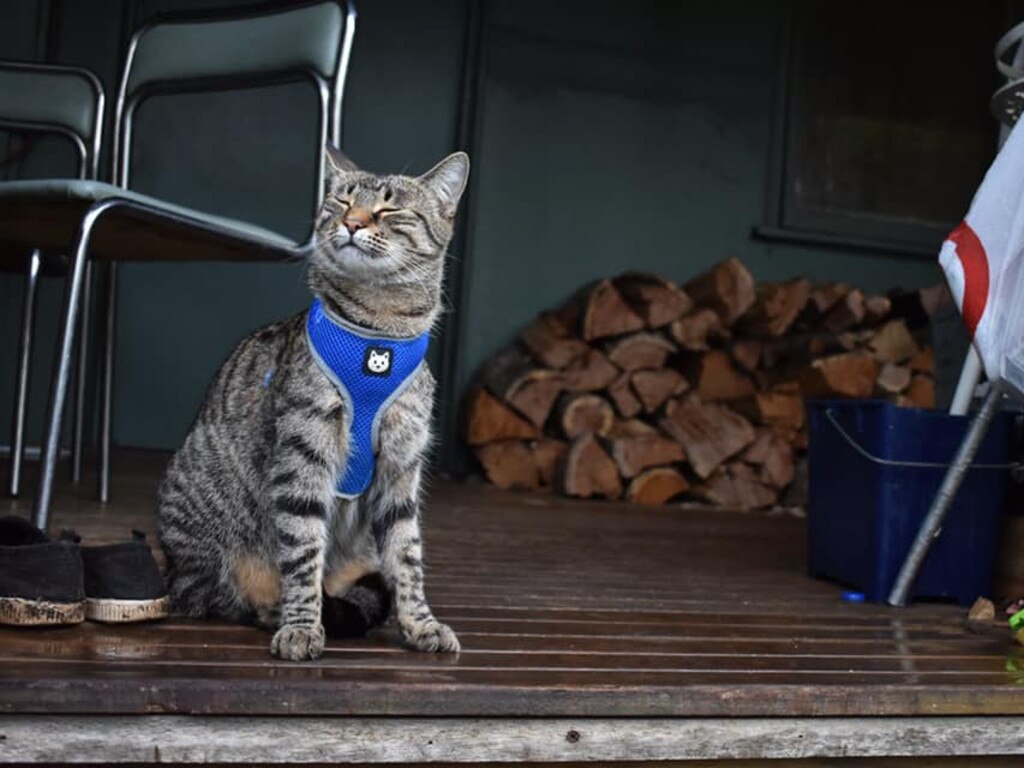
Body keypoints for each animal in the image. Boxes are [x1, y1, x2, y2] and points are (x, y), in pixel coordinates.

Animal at [155, 145, 468, 663]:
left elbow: (407, 556)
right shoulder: (303, 455)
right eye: (342, 202)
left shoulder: (402, 466)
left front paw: (421, 623)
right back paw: (267, 608)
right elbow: (302, 553)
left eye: (389, 208)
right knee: (210, 593)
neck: (378, 338)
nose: (354, 223)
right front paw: (301, 626)